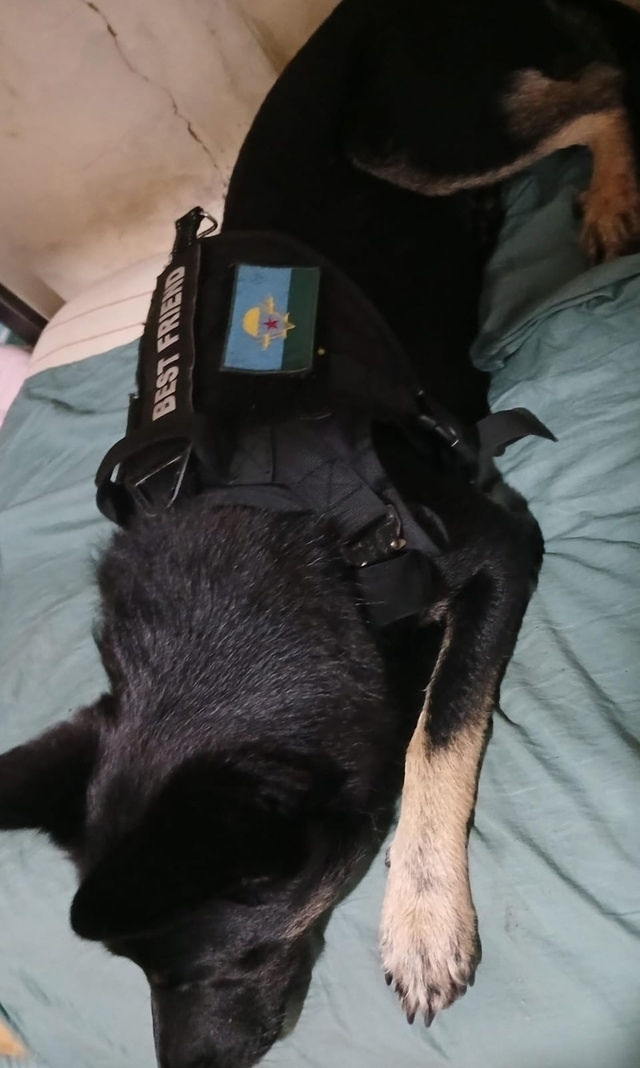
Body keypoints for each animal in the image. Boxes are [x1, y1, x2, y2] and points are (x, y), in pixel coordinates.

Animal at [1, 1, 640, 1066]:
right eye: (131, 971)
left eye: (215, 958)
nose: (179, 1063)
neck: (246, 512)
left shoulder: (496, 547)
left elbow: (437, 732)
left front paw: (421, 917)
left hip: (410, 133)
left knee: (605, 86)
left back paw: (610, 192)